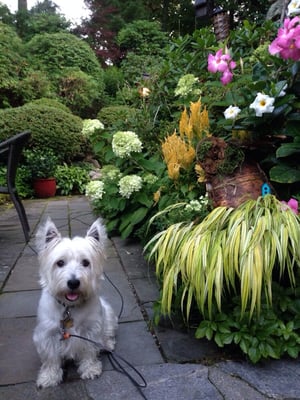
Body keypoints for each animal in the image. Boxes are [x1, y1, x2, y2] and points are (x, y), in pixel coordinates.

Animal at [32, 217, 117, 390]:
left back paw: (107, 344)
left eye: (85, 262)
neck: (69, 307)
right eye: (60, 262)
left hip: (108, 313)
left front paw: (90, 369)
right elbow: (51, 359)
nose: (73, 282)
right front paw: (49, 377)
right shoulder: (47, 334)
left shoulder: (90, 330)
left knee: (106, 334)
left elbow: (89, 350)